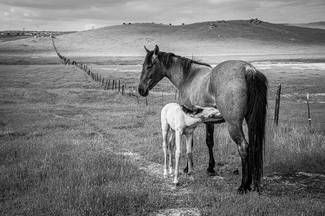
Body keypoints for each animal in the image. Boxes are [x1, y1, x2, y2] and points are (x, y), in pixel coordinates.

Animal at [138, 45, 268, 192]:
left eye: (149, 66)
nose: (140, 89)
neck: (188, 77)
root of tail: (248, 69)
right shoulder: (209, 122)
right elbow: (209, 141)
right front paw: (210, 168)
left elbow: (190, 145)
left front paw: (187, 168)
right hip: (250, 121)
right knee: (254, 146)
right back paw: (251, 182)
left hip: (233, 124)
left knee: (244, 147)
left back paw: (243, 185)